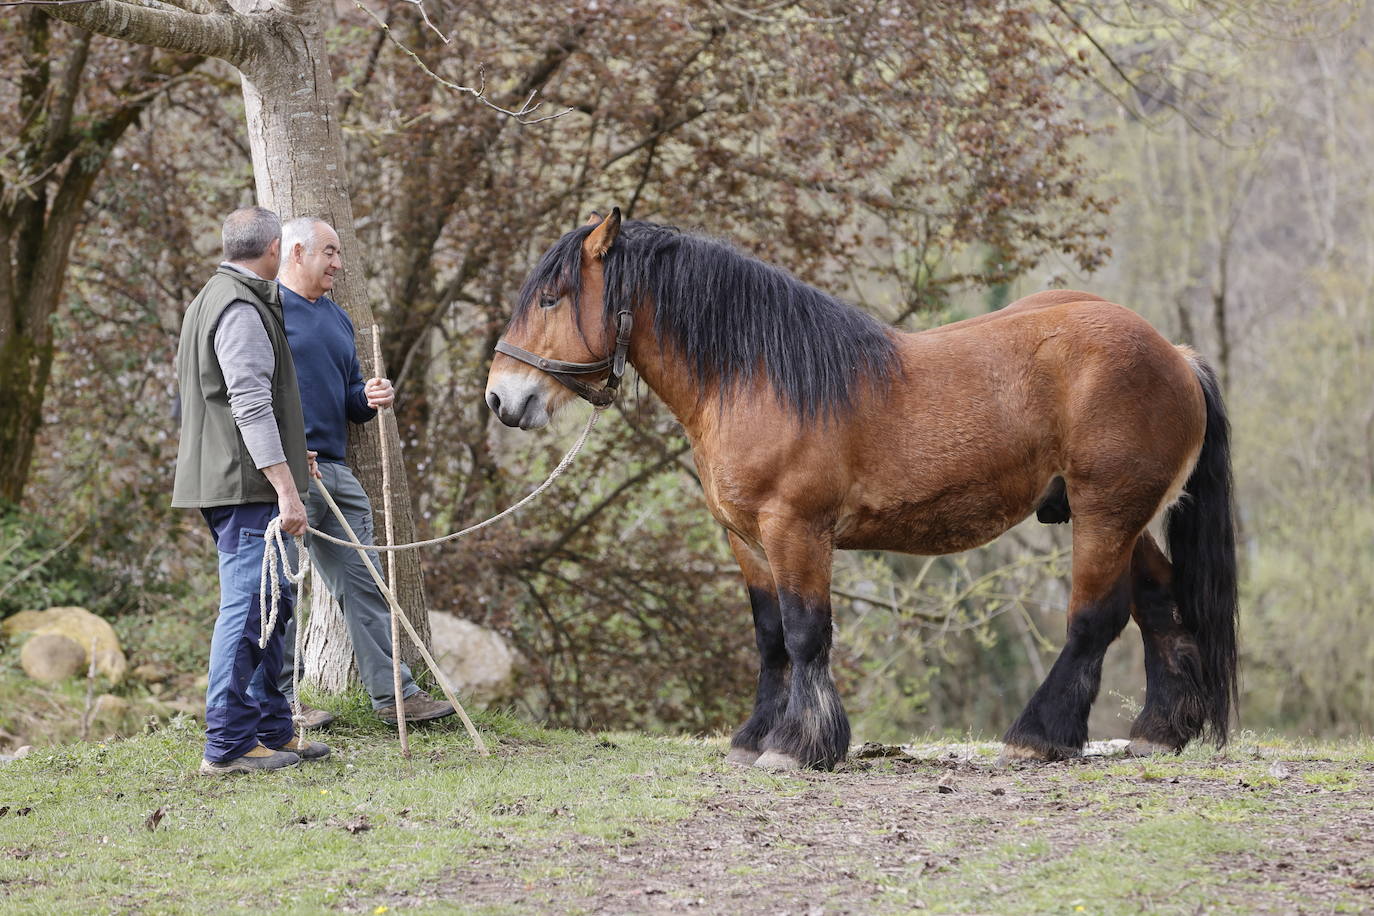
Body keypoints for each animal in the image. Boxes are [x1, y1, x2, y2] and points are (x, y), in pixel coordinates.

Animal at [489, 211, 1242, 769]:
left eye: (551, 298)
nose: (502, 397)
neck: (756, 376)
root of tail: (1176, 355)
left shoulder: (796, 530)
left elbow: (805, 634)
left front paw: (800, 746)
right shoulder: (746, 542)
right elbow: (770, 638)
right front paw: (756, 738)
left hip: (1104, 512)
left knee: (1095, 619)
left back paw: (1038, 736)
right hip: (1128, 519)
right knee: (1160, 607)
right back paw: (1157, 733)